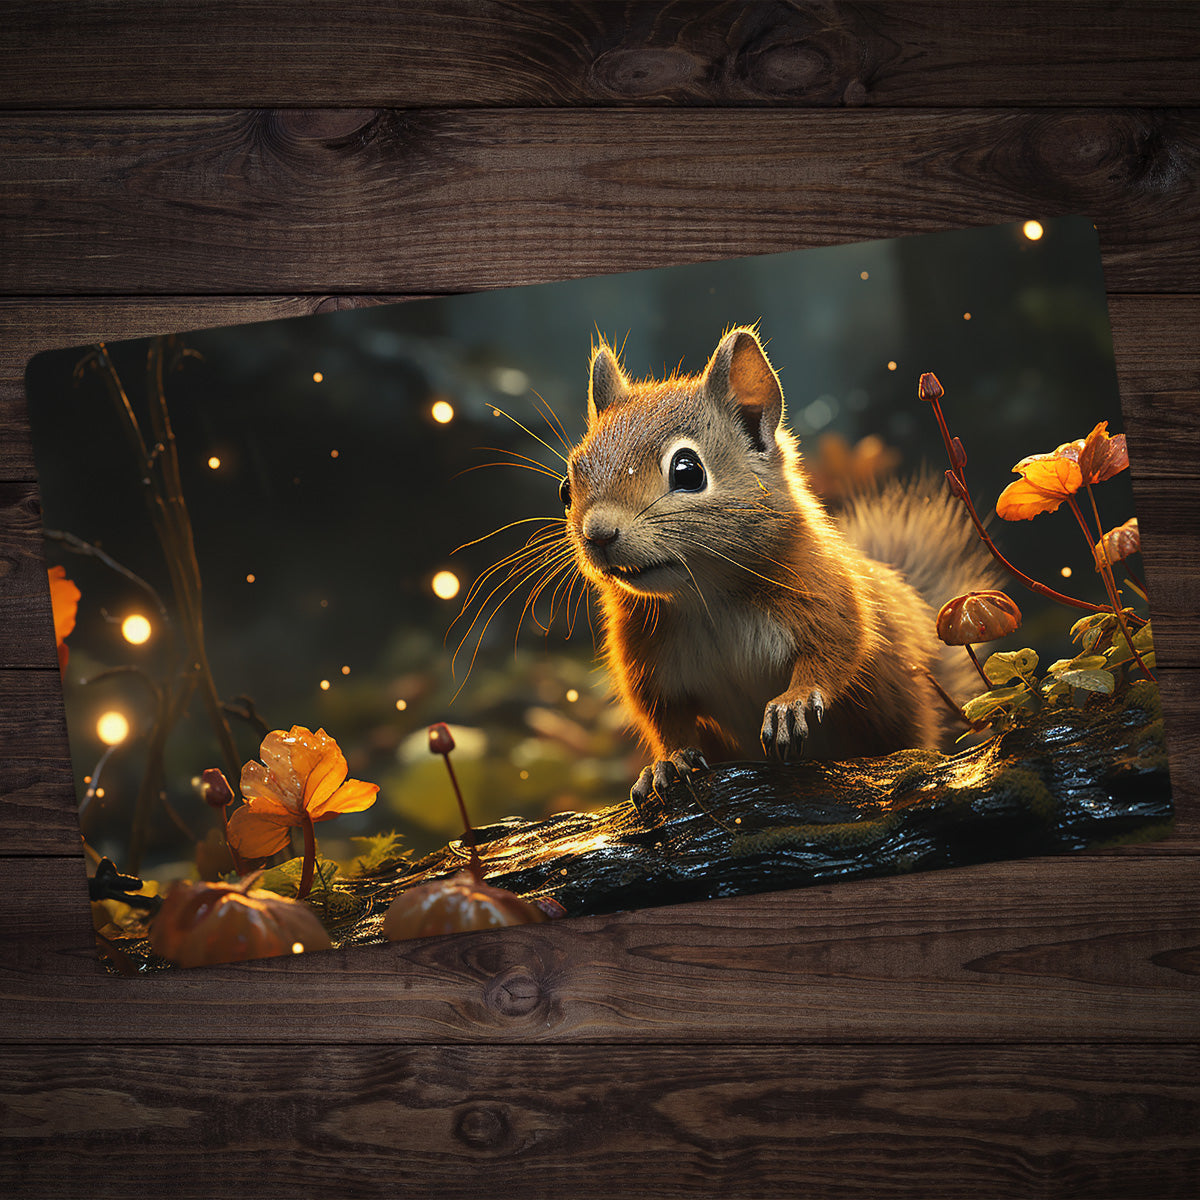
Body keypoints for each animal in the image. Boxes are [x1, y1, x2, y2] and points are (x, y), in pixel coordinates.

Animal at [557, 325, 998, 805]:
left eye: (688, 471)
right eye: (566, 487)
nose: (598, 534)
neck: (705, 597)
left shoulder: (826, 596)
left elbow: (838, 649)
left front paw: (794, 703)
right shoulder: (646, 662)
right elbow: (662, 717)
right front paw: (668, 761)